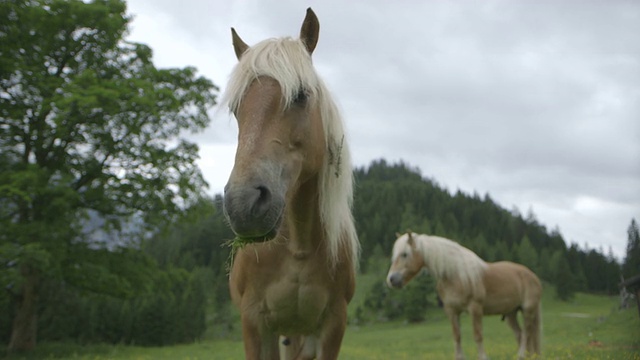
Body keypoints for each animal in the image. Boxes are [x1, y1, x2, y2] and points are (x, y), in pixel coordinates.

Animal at [388, 232, 544, 360]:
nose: (391, 280)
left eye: (404, 254)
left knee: (527, 333)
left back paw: (522, 354)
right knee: (520, 334)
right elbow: (457, 336)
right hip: (511, 313)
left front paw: (483, 357)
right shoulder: (452, 311)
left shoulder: (475, 309)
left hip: (528, 310)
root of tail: (533, 276)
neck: (455, 275)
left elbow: (478, 335)